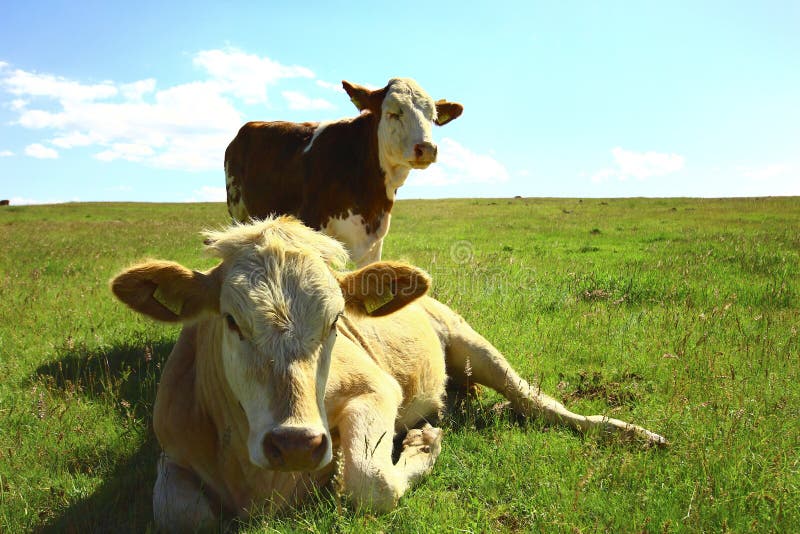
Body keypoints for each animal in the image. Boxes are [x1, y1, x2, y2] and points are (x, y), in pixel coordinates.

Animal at [109, 217, 664, 532]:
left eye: (336, 320)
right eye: (230, 320)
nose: (295, 444)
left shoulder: (376, 389)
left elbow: (370, 479)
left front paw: (421, 447)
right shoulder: (172, 450)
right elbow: (183, 515)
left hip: (472, 342)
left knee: (537, 401)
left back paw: (632, 434)